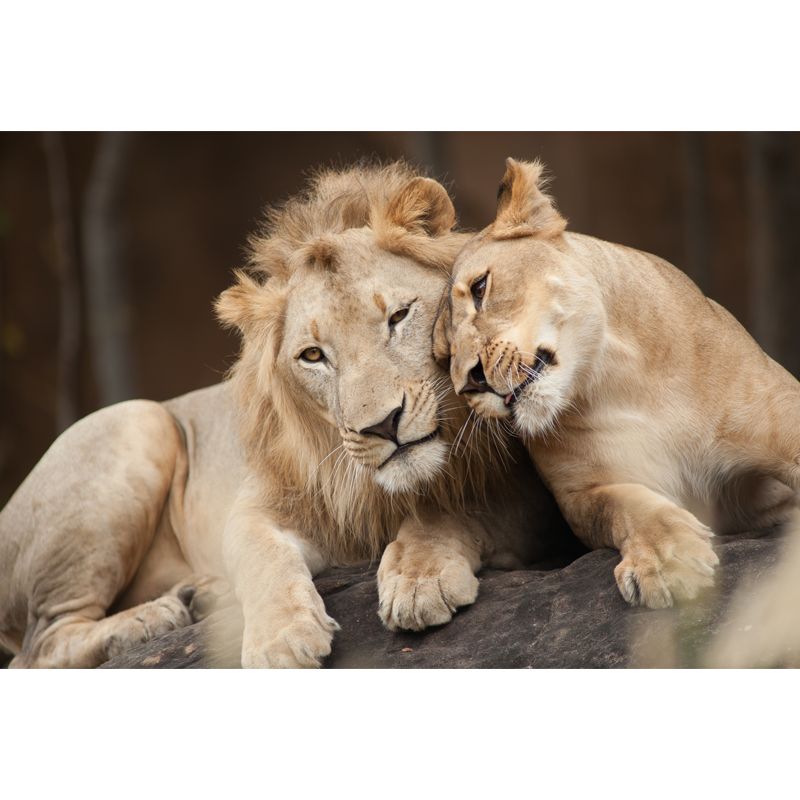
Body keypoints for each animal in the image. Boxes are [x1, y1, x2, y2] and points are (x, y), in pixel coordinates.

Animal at [0, 161, 564, 668]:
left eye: (399, 316)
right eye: (313, 355)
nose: (381, 425)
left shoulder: (530, 498)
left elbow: (454, 511)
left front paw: (420, 578)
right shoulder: (263, 504)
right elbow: (260, 556)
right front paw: (281, 639)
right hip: (137, 423)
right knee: (38, 647)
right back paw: (153, 618)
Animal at [436, 157, 800, 609]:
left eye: (481, 288)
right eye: (443, 357)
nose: (470, 383)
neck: (615, 378)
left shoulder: (784, 421)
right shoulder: (586, 492)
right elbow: (627, 508)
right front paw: (666, 561)